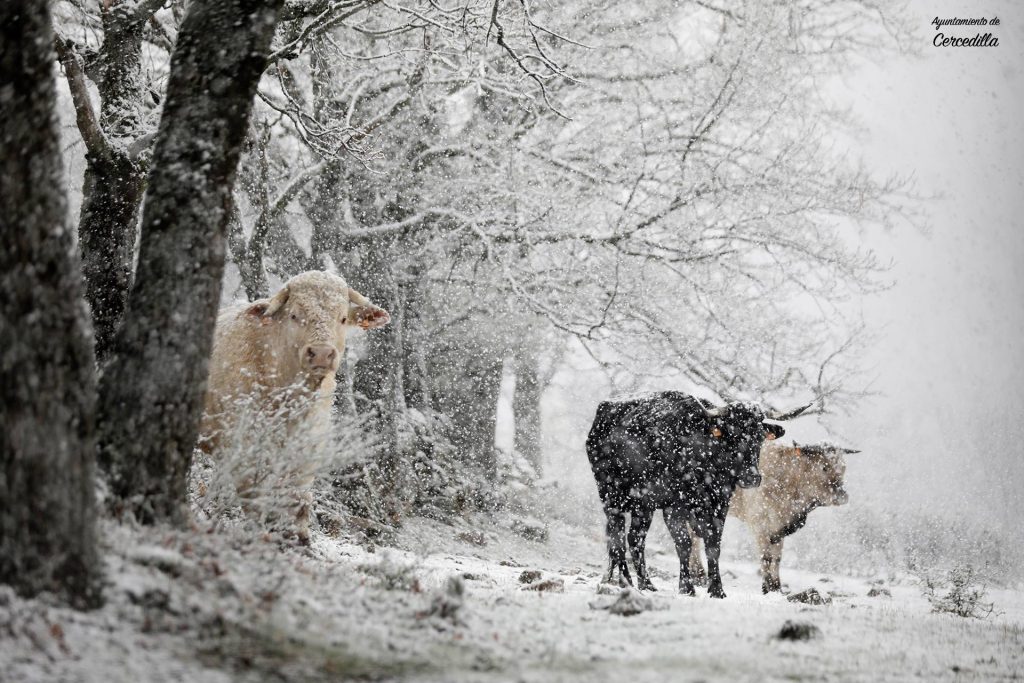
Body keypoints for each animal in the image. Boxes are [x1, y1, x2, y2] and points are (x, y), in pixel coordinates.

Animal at [589, 393, 802, 602]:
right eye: (732, 435)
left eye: (759, 437)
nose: (752, 477)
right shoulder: (673, 507)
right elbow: (684, 544)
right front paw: (687, 588)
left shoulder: (719, 506)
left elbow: (713, 545)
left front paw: (717, 590)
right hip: (611, 498)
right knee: (617, 539)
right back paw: (625, 582)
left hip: (643, 506)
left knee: (635, 539)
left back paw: (646, 584)